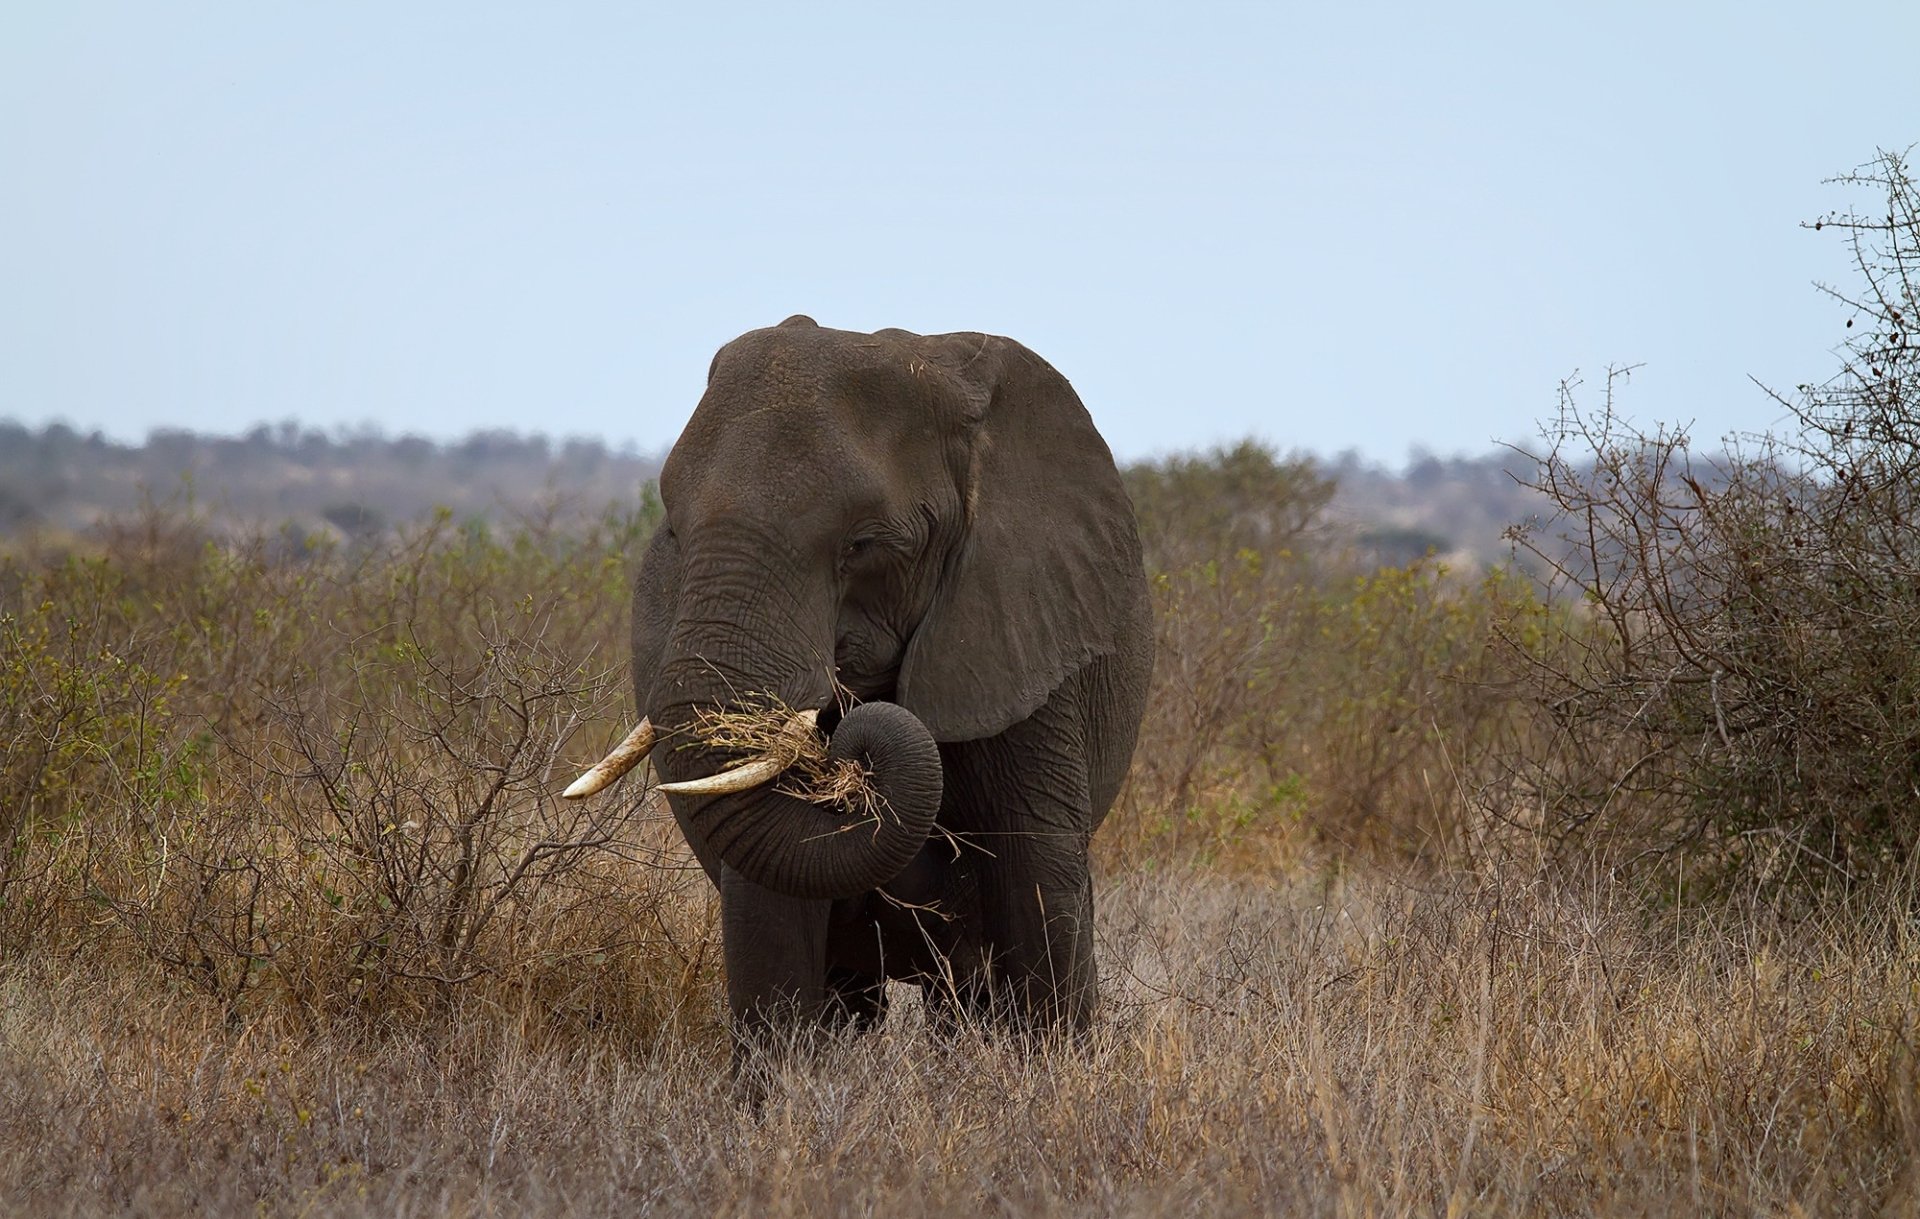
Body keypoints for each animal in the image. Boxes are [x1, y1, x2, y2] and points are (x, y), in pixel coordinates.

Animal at [566, 315, 1153, 1047]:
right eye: (674, 530)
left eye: (863, 545)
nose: (847, 753)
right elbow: (771, 911)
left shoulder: (1026, 630)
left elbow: (1040, 879)